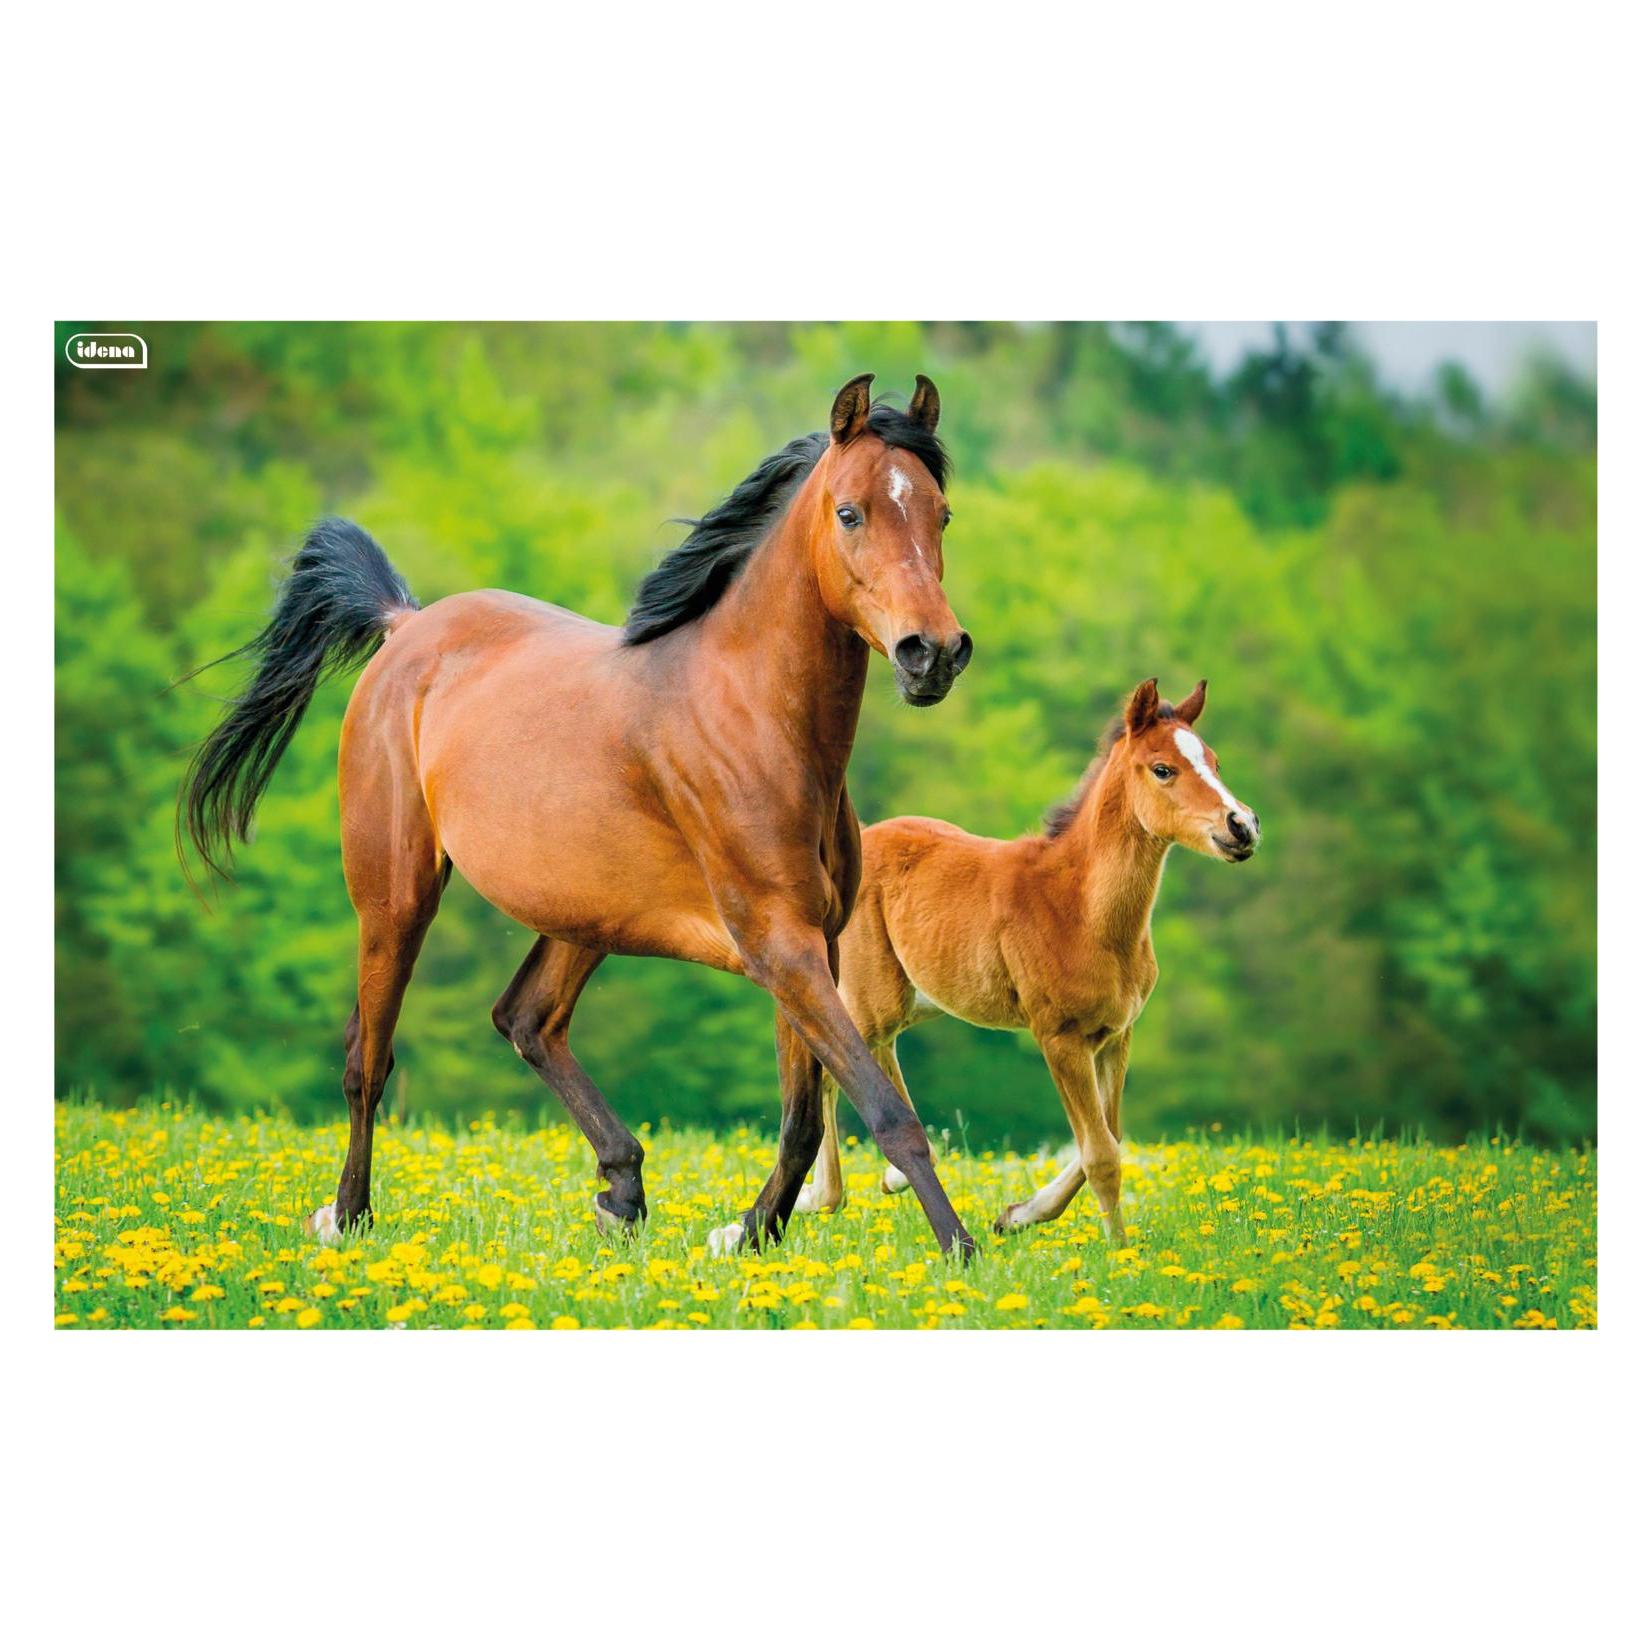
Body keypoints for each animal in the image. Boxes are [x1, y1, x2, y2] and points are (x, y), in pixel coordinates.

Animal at [178, 374, 983, 1258]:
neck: (757, 721)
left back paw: (621, 1189)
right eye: (850, 512)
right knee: (370, 1057)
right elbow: (886, 1112)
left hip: (583, 913)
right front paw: (962, 1251)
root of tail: (405, 624)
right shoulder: (780, 944)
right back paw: (348, 1215)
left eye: (941, 513)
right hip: (396, 896)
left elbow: (803, 1120)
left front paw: (748, 1232)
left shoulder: (810, 944)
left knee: (525, 1018)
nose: (932, 653)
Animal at [791, 676, 1260, 1239]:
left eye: (1215, 761)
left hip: (913, 999)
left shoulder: (1116, 1036)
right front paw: (1119, 1250)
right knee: (838, 1056)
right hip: (874, 996)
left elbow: (1109, 1136)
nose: (1242, 826)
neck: (1082, 909)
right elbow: (1101, 1154)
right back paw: (822, 1195)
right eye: (1163, 768)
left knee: (867, 1055)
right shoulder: (1059, 1037)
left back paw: (880, 1179)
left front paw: (1019, 1214)